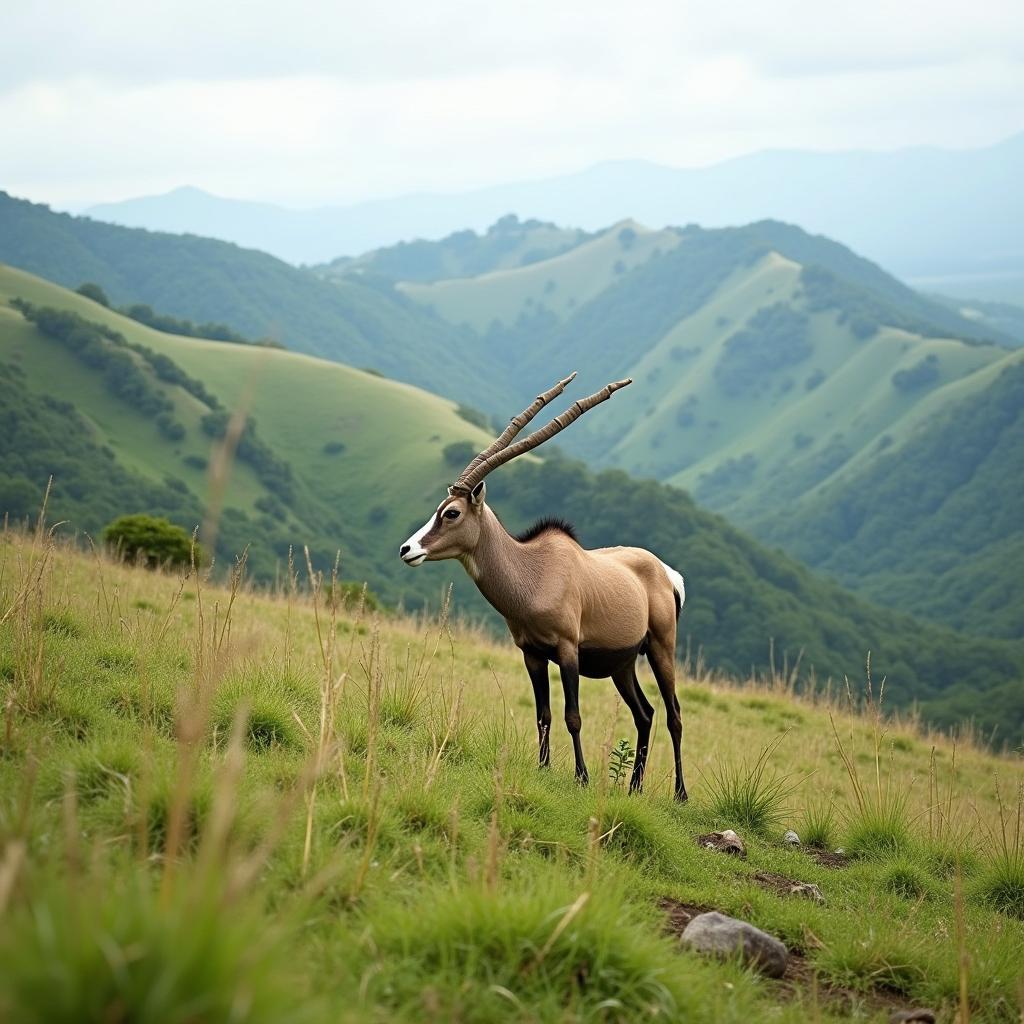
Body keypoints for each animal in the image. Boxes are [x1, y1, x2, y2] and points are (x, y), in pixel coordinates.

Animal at [399, 372, 688, 794]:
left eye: (451, 513)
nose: (407, 549)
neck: (533, 573)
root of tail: (667, 574)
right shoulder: (532, 654)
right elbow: (544, 714)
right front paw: (543, 768)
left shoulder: (567, 651)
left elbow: (572, 716)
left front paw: (581, 777)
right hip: (622, 664)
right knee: (645, 713)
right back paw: (633, 787)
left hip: (661, 647)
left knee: (673, 714)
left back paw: (680, 794)